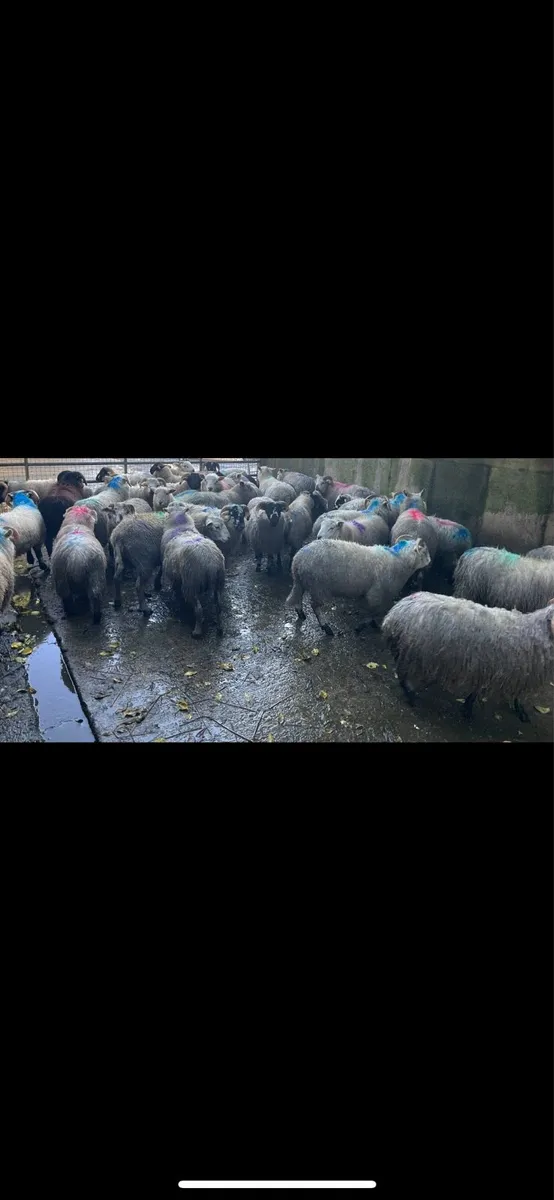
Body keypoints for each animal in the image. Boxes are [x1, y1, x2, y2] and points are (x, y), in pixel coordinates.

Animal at [286, 537, 431, 636]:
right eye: (425, 553)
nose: (430, 564)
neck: (399, 562)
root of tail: (297, 560)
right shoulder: (376, 594)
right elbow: (373, 612)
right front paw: (363, 626)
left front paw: (371, 624)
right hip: (319, 587)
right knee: (315, 606)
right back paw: (326, 627)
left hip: (303, 582)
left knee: (298, 597)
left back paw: (301, 614)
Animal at [382, 591, 554, 723]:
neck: (534, 632)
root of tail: (394, 613)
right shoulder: (515, 673)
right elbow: (517, 695)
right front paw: (521, 711)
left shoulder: (487, 667)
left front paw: (467, 706)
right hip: (410, 651)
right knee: (402, 675)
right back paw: (411, 696)